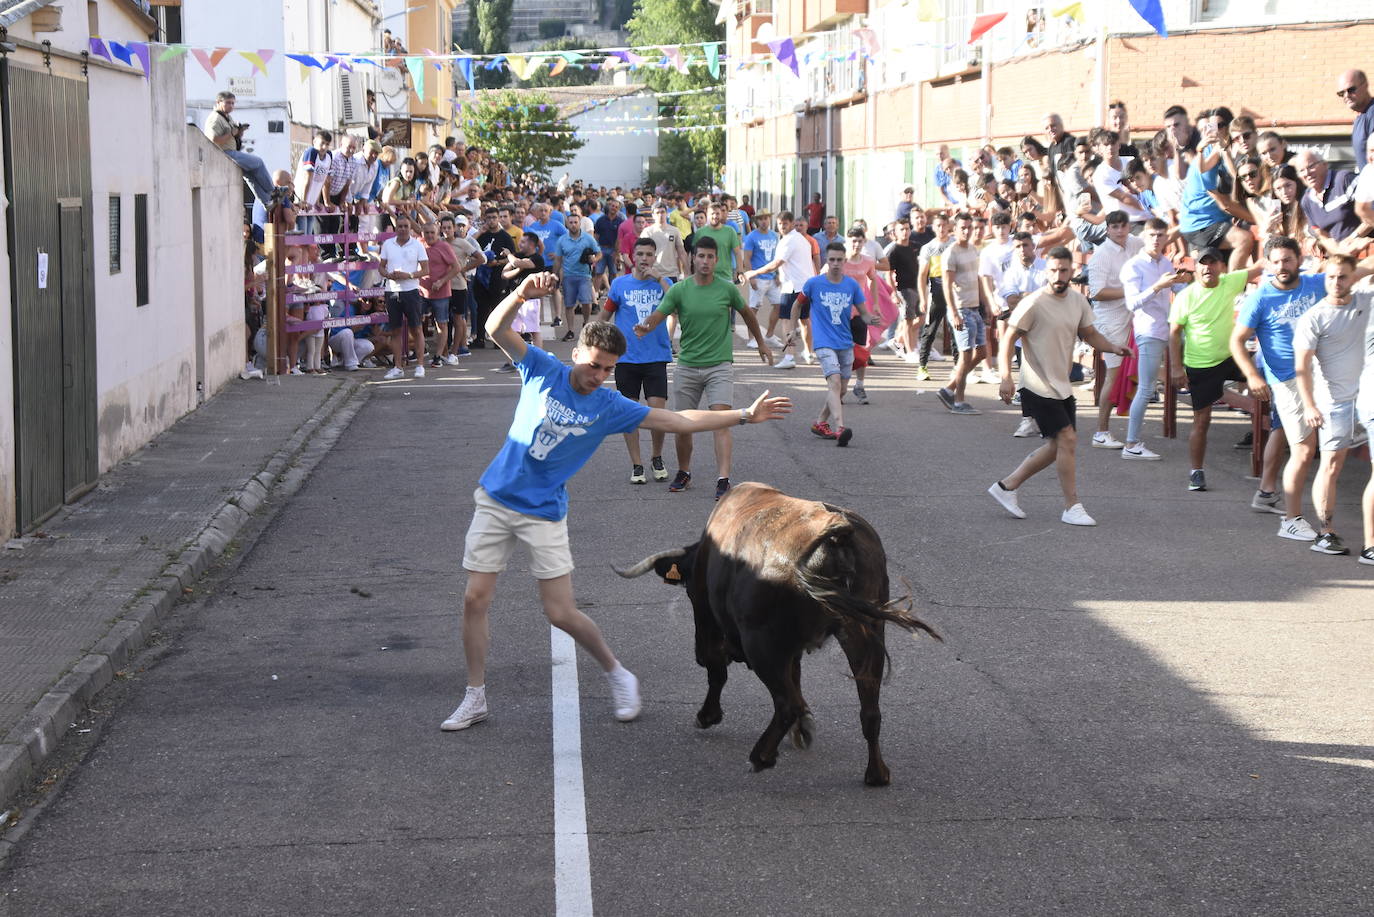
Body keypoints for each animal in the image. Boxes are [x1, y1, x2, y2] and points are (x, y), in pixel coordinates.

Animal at [618, 481, 939, 791]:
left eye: (685, 591)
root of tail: (837, 533)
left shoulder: (707, 613)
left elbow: (717, 669)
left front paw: (708, 715)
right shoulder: (790, 647)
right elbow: (795, 676)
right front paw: (803, 729)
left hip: (761, 643)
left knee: (786, 702)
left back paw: (761, 756)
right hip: (865, 633)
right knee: (869, 709)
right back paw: (877, 773)